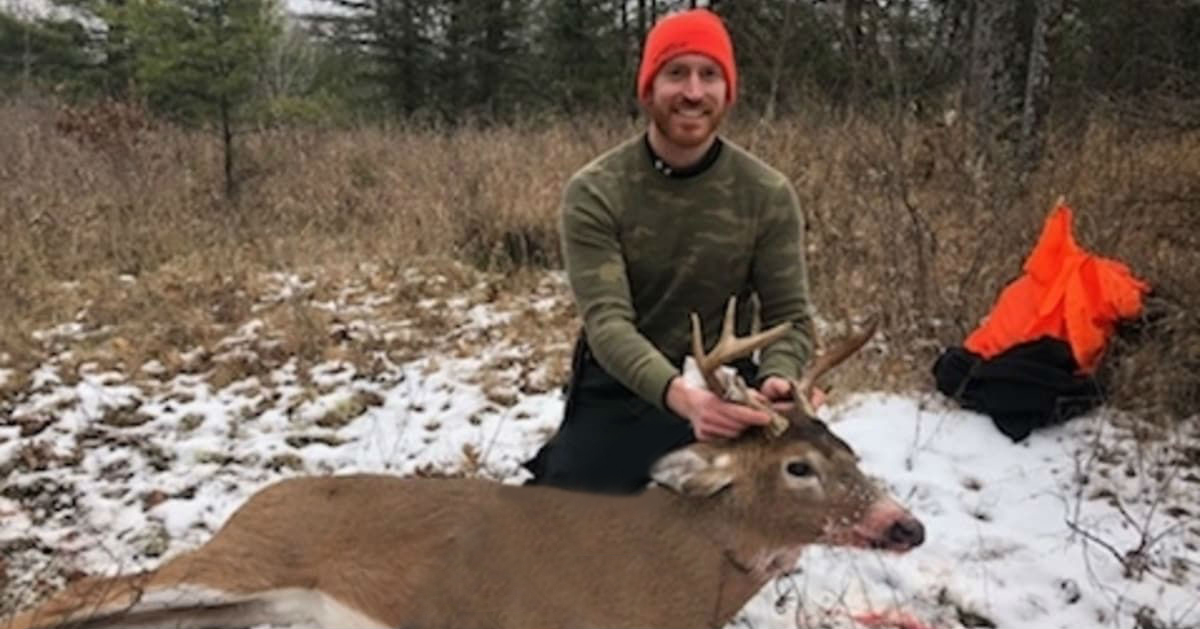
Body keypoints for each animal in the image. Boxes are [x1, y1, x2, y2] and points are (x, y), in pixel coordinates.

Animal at [4, 298, 921, 629]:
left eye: (849, 450)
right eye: (799, 466)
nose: (905, 524)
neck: (691, 571)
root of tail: (252, 500)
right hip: (243, 557)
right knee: (74, 594)